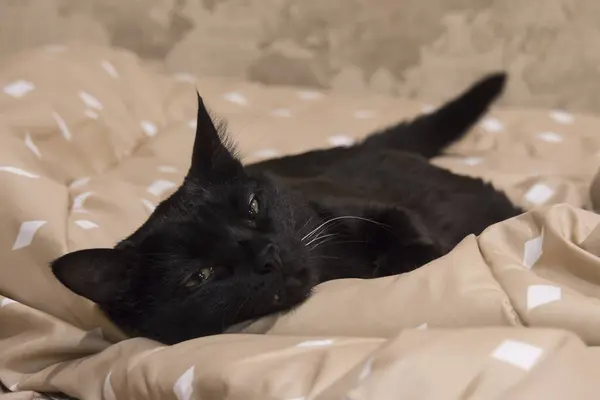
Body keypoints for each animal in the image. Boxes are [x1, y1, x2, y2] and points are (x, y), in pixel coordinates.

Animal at [51, 73, 520, 346]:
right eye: (199, 276)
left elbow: (403, 224)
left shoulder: (356, 207)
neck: (337, 270)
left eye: (253, 206)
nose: (267, 255)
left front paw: (410, 260)